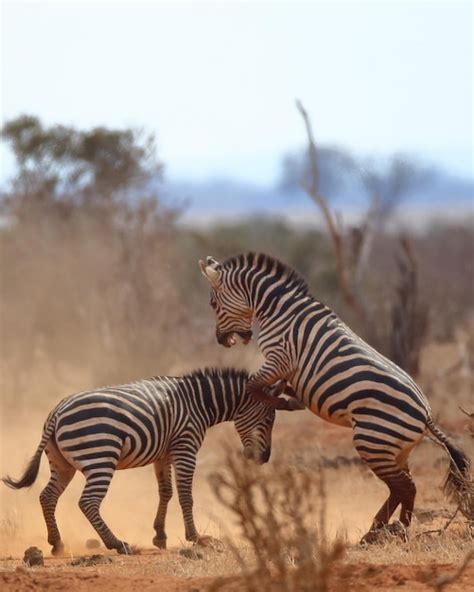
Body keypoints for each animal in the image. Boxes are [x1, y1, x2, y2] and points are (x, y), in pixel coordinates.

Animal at [2, 366, 292, 556]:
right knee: (88, 502)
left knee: (47, 496)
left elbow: (166, 492)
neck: (199, 403)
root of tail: (56, 411)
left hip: (62, 463)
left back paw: (57, 544)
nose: (263, 458)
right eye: (269, 419)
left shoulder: (163, 454)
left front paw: (160, 536)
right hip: (100, 457)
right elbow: (185, 494)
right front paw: (197, 538)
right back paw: (118, 544)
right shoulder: (185, 447)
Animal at [199, 252, 470, 544]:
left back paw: (395, 531)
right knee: (400, 487)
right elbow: (269, 387)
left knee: (405, 487)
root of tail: (426, 413)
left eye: (213, 303)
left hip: (372, 441)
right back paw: (377, 532)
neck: (279, 310)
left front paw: (282, 402)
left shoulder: (279, 358)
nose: (222, 340)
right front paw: (289, 398)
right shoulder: (284, 368)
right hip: (395, 449)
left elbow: (253, 386)